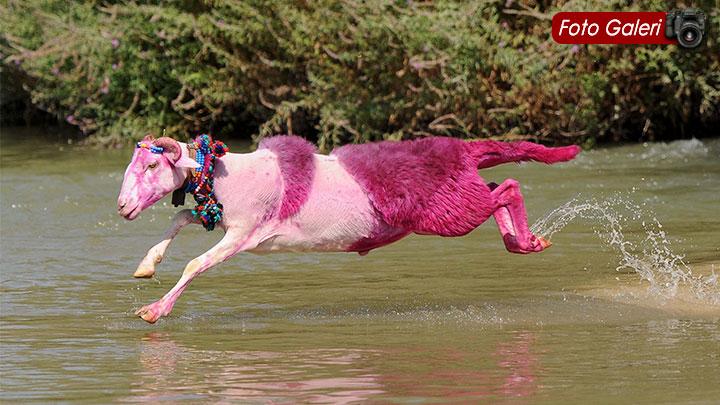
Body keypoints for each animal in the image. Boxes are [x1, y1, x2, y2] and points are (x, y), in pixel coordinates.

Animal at [118, 135, 580, 322]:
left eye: (153, 166)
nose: (122, 206)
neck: (221, 174)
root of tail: (463, 150)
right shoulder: (221, 218)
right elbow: (180, 218)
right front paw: (146, 264)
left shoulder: (244, 231)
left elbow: (195, 264)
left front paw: (154, 310)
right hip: (461, 192)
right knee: (497, 186)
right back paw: (521, 241)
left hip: (450, 211)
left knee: (507, 187)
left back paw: (525, 241)